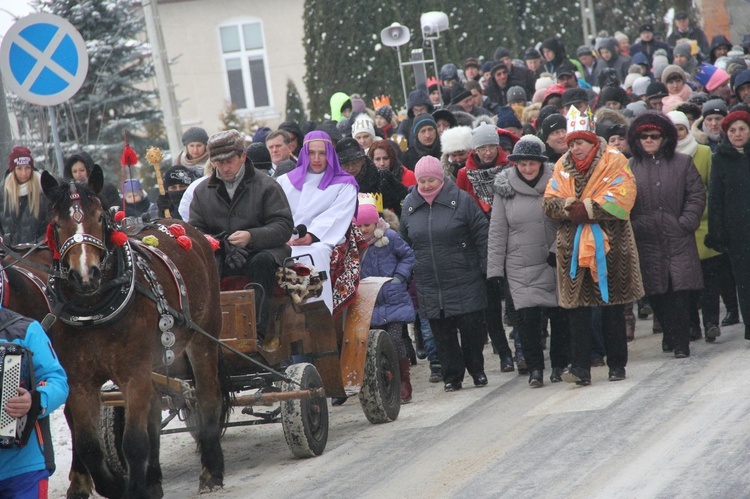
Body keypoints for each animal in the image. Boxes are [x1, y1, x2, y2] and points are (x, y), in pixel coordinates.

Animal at [5, 166, 229, 498]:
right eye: (57, 223)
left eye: (99, 217)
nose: (85, 275)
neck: (94, 311)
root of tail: (180, 226)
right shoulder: (81, 381)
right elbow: (90, 445)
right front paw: (117, 485)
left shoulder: (133, 372)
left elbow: (134, 443)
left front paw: (133, 488)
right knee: (153, 410)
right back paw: (153, 479)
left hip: (203, 336)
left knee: (207, 394)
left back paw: (211, 470)